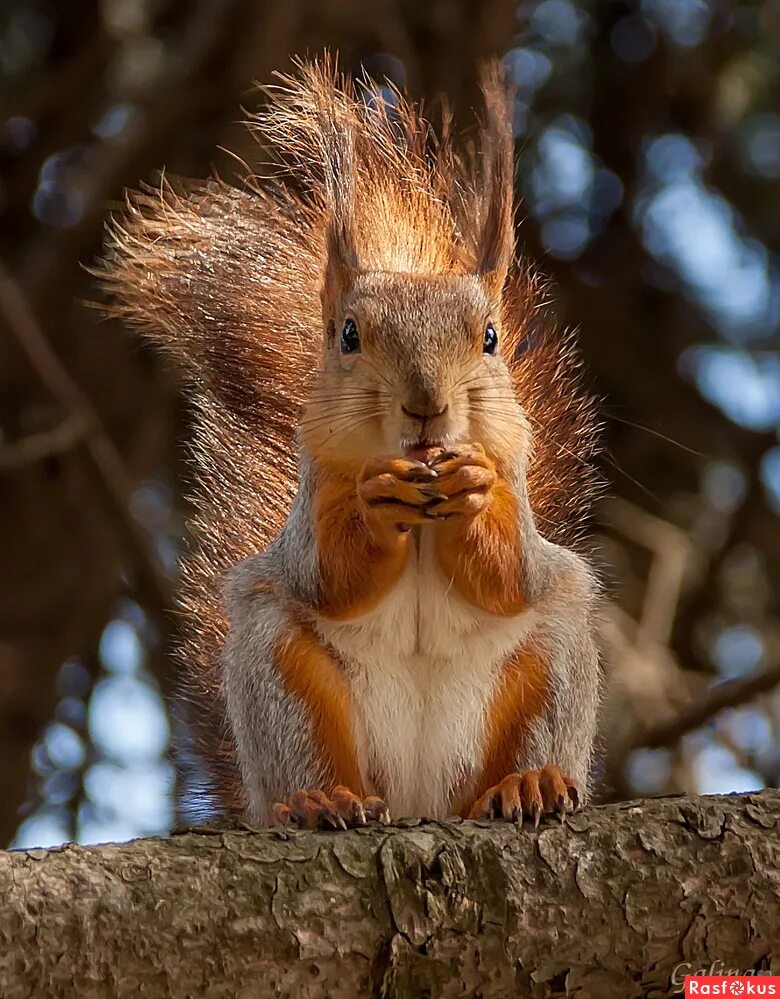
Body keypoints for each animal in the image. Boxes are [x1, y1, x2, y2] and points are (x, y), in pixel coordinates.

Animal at [100, 58, 604, 832]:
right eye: (347, 335)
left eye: (490, 337)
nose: (426, 406)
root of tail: (420, 795)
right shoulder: (315, 486)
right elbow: (328, 576)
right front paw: (375, 505)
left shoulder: (517, 478)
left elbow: (510, 572)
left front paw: (473, 489)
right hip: (279, 672)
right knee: (307, 741)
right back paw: (318, 799)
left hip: (557, 654)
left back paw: (530, 784)